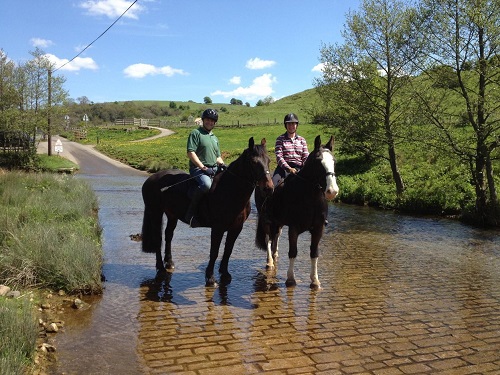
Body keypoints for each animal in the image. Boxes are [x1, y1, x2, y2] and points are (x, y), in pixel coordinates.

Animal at [141, 138, 274, 288]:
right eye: (253, 162)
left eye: (268, 160)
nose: (269, 188)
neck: (229, 190)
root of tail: (151, 179)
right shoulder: (217, 228)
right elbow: (214, 252)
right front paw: (210, 278)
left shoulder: (236, 228)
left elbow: (228, 250)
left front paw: (225, 273)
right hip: (155, 213)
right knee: (158, 239)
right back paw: (161, 269)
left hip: (172, 215)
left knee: (168, 235)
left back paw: (169, 262)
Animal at [254, 137, 340, 290]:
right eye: (318, 162)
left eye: (334, 161)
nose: (332, 191)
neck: (310, 198)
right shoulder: (294, 228)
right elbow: (293, 252)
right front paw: (290, 279)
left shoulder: (318, 229)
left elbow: (314, 253)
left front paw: (315, 281)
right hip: (266, 220)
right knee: (268, 238)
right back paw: (270, 261)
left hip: (278, 222)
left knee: (276, 236)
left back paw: (275, 254)